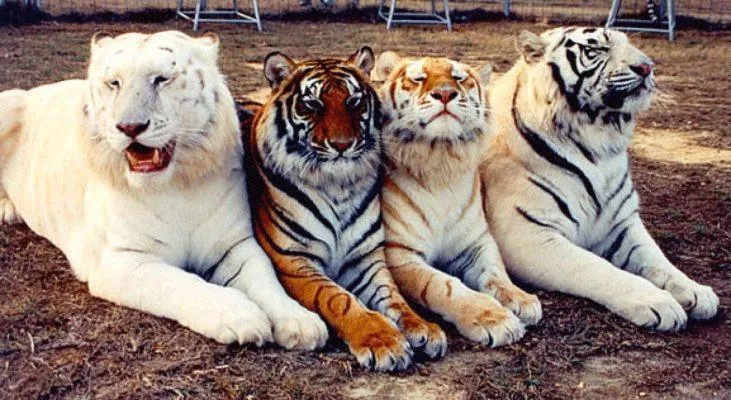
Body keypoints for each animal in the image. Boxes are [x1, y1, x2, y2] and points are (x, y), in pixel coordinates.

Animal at [0, 31, 328, 350]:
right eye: (114, 83)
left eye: (162, 79)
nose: (130, 127)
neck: (175, 187)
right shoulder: (123, 259)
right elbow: (180, 283)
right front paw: (241, 315)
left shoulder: (234, 245)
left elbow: (265, 279)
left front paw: (300, 322)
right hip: (9, 102)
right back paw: (8, 210)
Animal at [245, 47, 447, 371]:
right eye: (312, 105)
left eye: (353, 102)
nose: (342, 144)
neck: (337, 186)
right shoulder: (294, 260)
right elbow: (338, 299)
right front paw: (383, 340)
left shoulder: (365, 258)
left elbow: (394, 297)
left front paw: (424, 328)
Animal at [373, 52, 542, 347]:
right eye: (418, 78)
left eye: (459, 78)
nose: (445, 93)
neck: (442, 161)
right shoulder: (400, 252)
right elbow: (444, 286)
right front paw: (493, 318)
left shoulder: (477, 242)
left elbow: (496, 272)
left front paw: (521, 299)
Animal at [480, 27, 719, 330]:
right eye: (596, 50)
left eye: (630, 44)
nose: (647, 67)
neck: (599, 144)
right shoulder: (529, 234)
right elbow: (597, 268)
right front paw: (658, 301)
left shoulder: (623, 223)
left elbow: (658, 260)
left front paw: (696, 290)